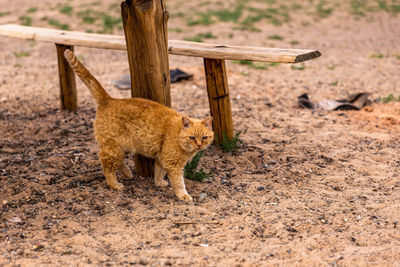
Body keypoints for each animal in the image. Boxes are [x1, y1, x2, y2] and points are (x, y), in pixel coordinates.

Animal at [63, 49, 212, 201]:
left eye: (204, 138)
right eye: (192, 138)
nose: (199, 145)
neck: (178, 136)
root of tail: (109, 99)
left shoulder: (161, 158)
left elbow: (159, 172)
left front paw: (158, 183)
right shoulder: (173, 164)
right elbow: (178, 182)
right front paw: (183, 195)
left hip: (125, 147)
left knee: (115, 162)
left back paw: (128, 173)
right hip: (114, 148)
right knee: (106, 165)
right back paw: (115, 185)